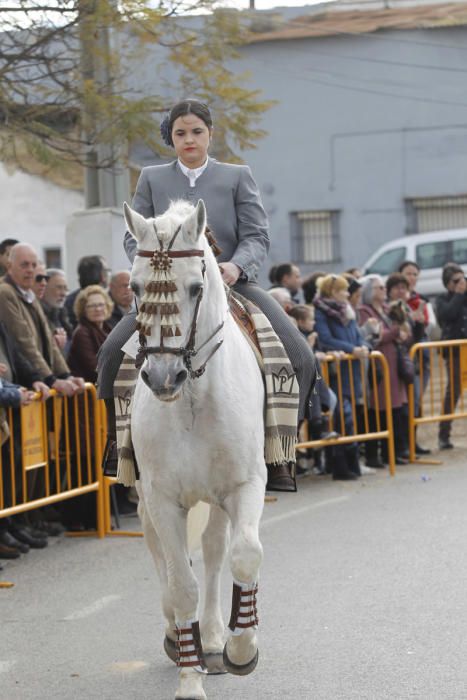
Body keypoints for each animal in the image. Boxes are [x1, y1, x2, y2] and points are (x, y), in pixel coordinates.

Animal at [124, 197, 266, 700]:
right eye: (134, 286)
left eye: (195, 287)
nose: (163, 377)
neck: (192, 400)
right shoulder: (162, 497)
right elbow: (180, 582)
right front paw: (189, 679)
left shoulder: (244, 485)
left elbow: (244, 554)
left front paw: (241, 650)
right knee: (164, 557)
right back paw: (179, 634)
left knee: (214, 549)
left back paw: (216, 637)